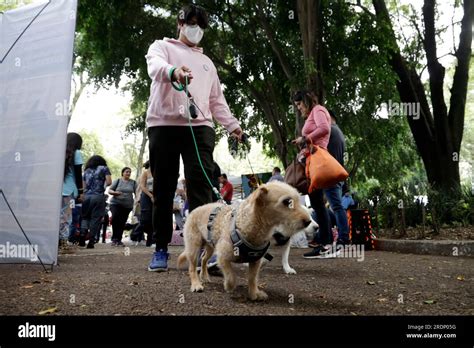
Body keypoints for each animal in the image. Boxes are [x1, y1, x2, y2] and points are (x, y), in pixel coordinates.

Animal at [177, 181, 312, 300]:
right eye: (287, 202)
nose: (308, 221)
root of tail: (195, 210)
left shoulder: (255, 261)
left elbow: (252, 279)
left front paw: (254, 294)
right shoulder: (223, 257)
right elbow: (231, 276)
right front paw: (228, 286)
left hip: (210, 245)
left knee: (204, 259)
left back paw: (204, 276)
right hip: (194, 247)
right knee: (192, 267)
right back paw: (196, 284)